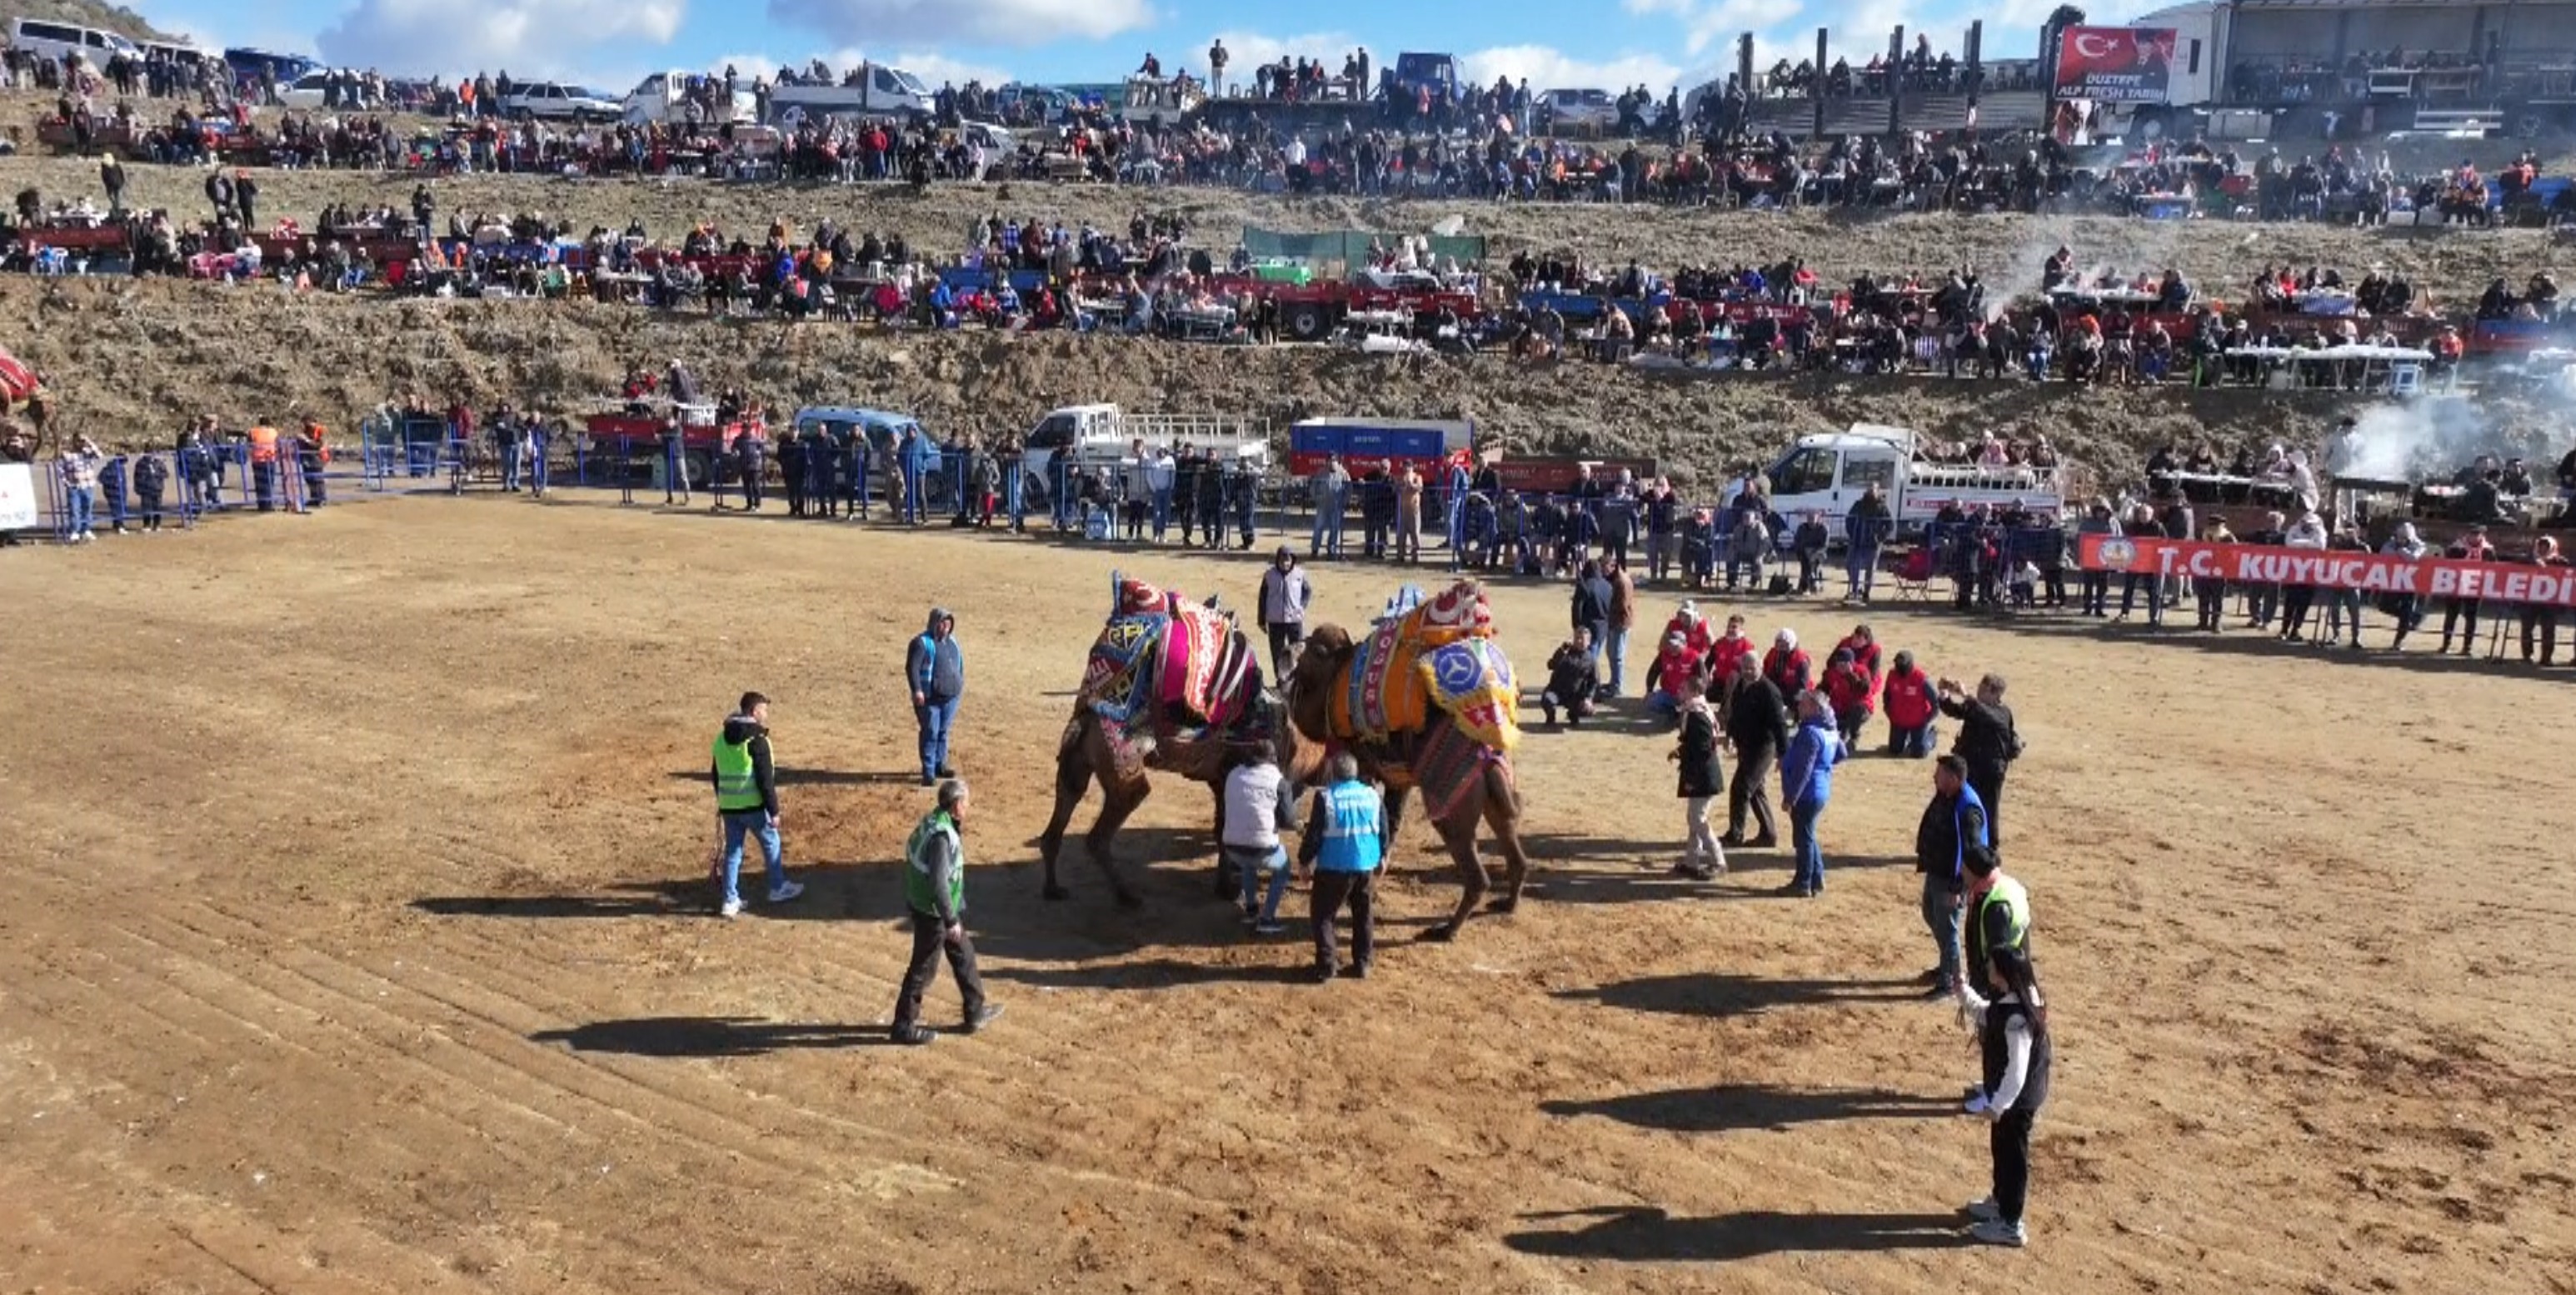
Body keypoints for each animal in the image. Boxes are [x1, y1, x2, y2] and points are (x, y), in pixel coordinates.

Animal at [1030, 577, 1319, 911]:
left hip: (1076, 763)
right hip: (1122, 770)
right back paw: (1127, 895)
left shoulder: (1220, 779)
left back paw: (1053, 887)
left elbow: (1221, 829)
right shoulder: (1236, 771)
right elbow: (1227, 831)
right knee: (1099, 836)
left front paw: (1225, 883)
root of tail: (1084, 720)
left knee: (1059, 818)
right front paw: (1228, 888)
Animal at [1288, 579, 1525, 942]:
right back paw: (1506, 904)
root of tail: (1487, 755)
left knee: (1476, 875)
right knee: (1513, 847)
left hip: (1453, 813)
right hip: (1497, 796)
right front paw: (1376, 869)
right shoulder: (1399, 776)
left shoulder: (1365, 764)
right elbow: (1391, 818)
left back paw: (1445, 930)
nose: (1292, 656)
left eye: (1314, 651)